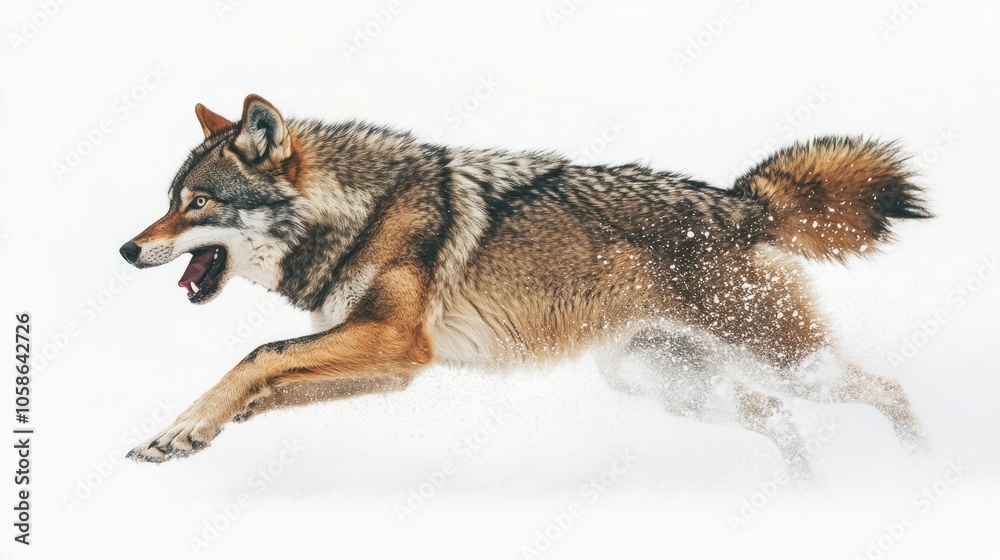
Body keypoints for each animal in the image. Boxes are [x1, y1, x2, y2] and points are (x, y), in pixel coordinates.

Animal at [121, 94, 930, 476]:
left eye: (198, 204)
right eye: (169, 200)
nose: (127, 250)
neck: (362, 210)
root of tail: (740, 203)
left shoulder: (393, 342)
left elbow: (258, 356)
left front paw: (183, 427)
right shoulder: (389, 363)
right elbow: (269, 379)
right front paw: (194, 432)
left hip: (789, 365)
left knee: (889, 390)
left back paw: (923, 467)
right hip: (671, 386)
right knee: (778, 417)